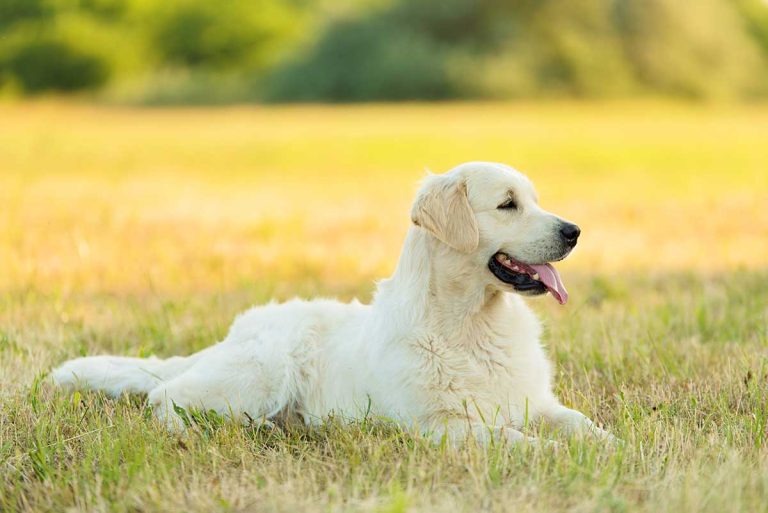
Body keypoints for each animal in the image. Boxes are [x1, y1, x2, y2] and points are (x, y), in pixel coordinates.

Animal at [51, 161, 616, 444]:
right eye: (507, 205)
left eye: (535, 200)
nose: (574, 232)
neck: (474, 323)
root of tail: (237, 330)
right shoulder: (441, 424)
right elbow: (514, 441)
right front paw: (549, 456)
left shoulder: (535, 402)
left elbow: (581, 426)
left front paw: (608, 449)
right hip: (262, 374)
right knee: (165, 396)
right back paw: (194, 431)